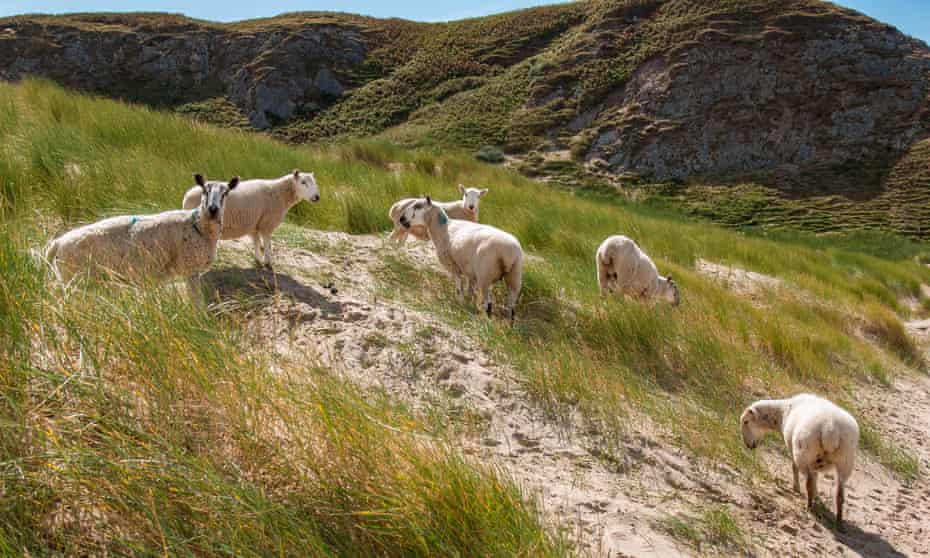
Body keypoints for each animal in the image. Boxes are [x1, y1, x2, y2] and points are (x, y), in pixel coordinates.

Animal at [46, 177, 239, 304]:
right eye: (204, 190)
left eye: (226, 193)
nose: (213, 209)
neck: (198, 224)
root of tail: (57, 243)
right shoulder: (190, 269)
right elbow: (196, 302)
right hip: (75, 276)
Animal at [180, 168, 320, 270]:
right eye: (303, 182)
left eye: (315, 182)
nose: (317, 197)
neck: (280, 193)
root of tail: (186, 196)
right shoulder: (267, 223)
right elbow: (268, 244)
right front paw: (269, 263)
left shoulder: (254, 223)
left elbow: (257, 242)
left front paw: (258, 261)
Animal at [736, 394, 860, 528]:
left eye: (746, 422)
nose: (748, 445)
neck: (782, 412)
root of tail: (830, 428)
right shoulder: (816, 462)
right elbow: (816, 477)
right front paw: (817, 497)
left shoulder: (792, 448)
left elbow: (794, 467)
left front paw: (796, 487)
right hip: (845, 461)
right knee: (839, 493)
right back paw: (839, 521)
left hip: (804, 453)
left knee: (808, 483)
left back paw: (809, 507)